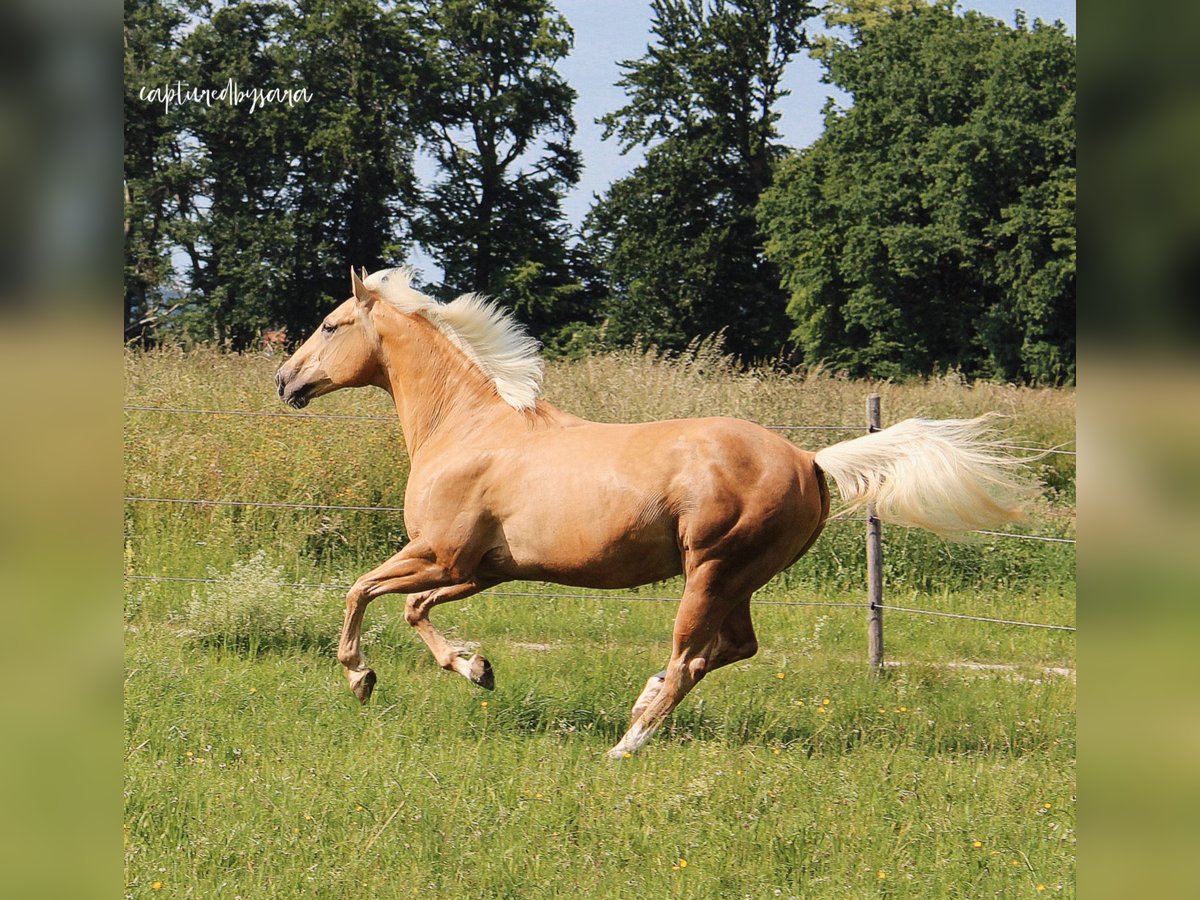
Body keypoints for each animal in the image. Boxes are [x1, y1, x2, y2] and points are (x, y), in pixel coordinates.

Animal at [275, 267, 1029, 758]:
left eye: (330, 324)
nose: (285, 381)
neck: (468, 425)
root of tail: (811, 459)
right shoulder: (479, 569)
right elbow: (413, 609)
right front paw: (475, 667)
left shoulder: (439, 553)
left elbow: (360, 591)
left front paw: (361, 677)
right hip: (739, 578)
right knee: (732, 648)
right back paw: (643, 701)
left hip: (712, 569)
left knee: (693, 657)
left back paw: (628, 742)